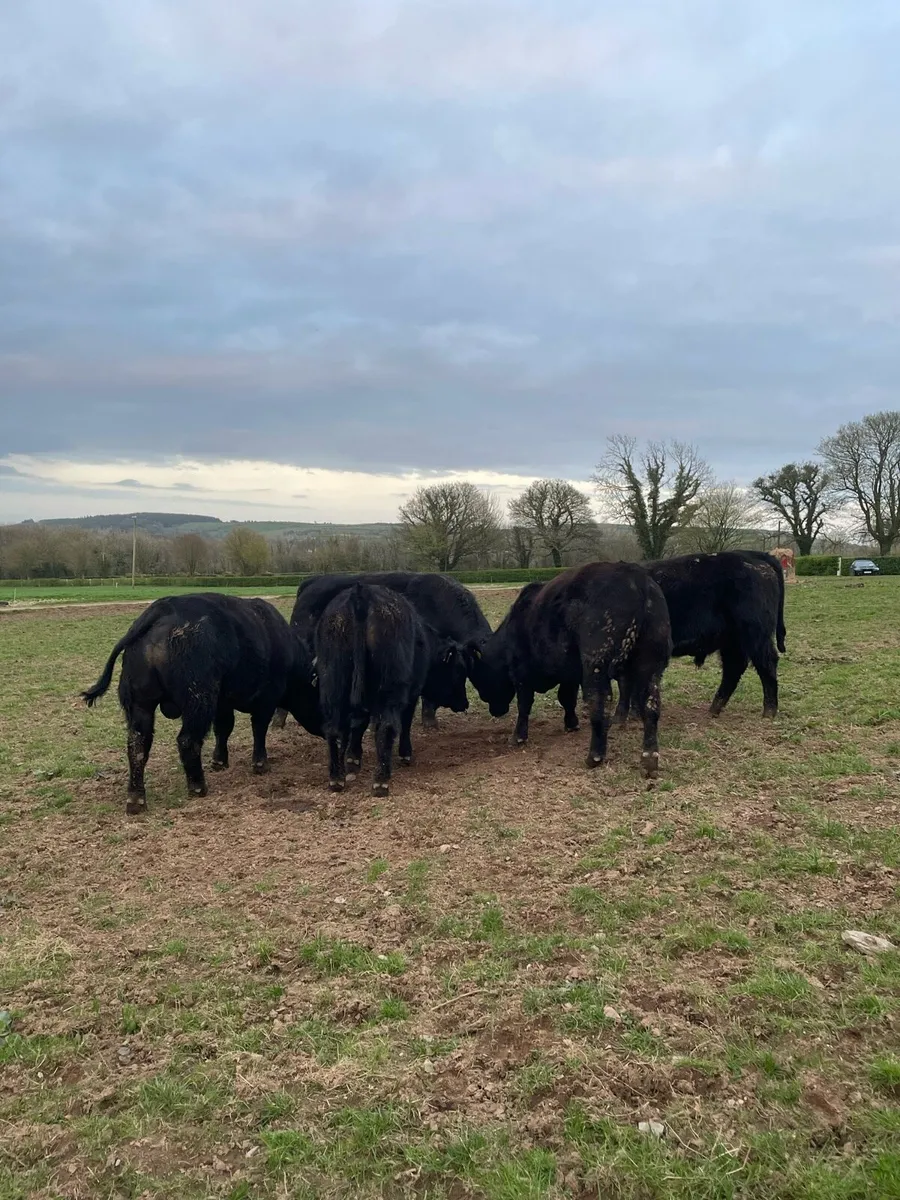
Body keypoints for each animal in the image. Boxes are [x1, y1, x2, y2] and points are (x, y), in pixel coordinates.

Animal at [81, 594, 321, 813]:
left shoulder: (223, 702)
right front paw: (260, 765)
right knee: (187, 740)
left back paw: (136, 799)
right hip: (197, 701)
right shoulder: (266, 699)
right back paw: (198, 786)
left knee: (138, 745)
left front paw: (219, 762)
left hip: (141, 705)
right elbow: (258, 729)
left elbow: (223, 729)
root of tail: (164, 607)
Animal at [316, 582, 470, 795]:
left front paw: (353, 759)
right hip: (389, 688)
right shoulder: (412, 694)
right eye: (459, 670)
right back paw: (381, 780)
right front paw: (405, 754)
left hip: (335, 683)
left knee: (335, 728)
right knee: (386, 726)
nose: (465, 702)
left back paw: (336, 778)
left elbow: (359, 725)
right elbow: (405, 723)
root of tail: (362, 592)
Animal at [469, 562, 671, 778]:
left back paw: (595, 756)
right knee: (651, 705)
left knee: (600, 702)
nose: (495, 711)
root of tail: (634, 576)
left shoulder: (521, 674)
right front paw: (571, 723)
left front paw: (518, 737)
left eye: (479, 681)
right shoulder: (571, 675)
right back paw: (649, 758)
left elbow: (524, 705)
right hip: (651, 664)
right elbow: (567, 698)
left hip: (596, 663)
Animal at [631, 550, 785, 720]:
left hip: (755, 635)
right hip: (732, 641)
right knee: (734, 667)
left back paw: (769, 712)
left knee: (766, 664)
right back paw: (715, 708)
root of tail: (749, 554)